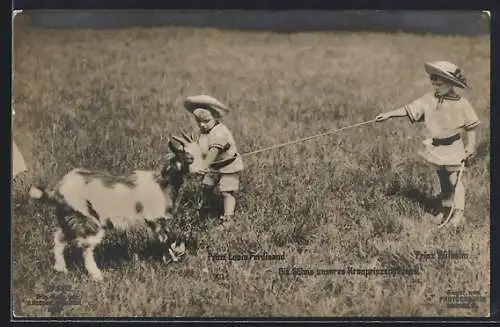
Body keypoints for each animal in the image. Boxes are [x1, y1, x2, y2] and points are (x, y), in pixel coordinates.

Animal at [28, 134, 203, 282]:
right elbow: (164, 240)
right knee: (86, 249)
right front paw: (172, 260)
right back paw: (97, 276)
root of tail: (59, 188)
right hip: (88, 220)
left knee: (59, 238)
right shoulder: (156, 219)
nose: (204, 170)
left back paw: (61, 269)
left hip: (70, 217)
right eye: (189, 158)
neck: (162, 182)